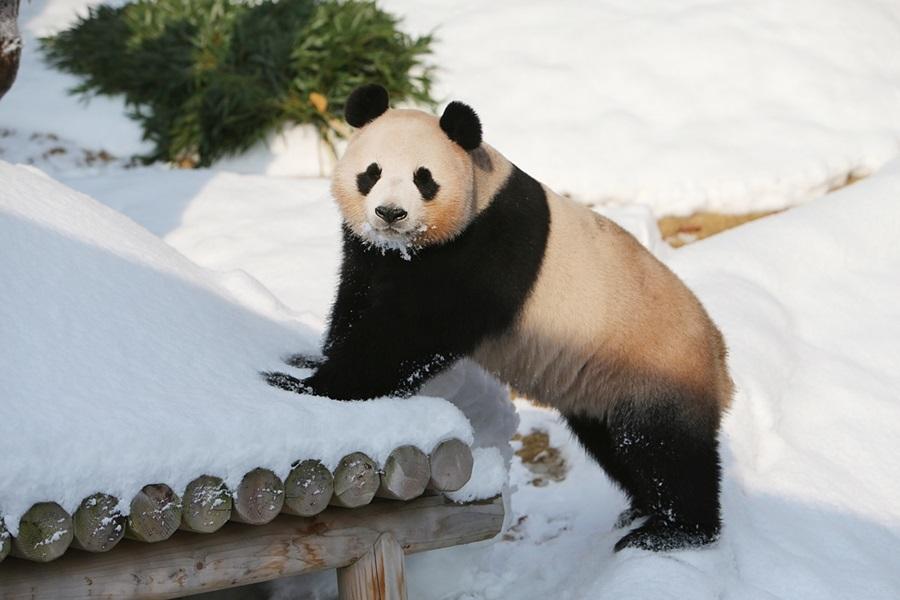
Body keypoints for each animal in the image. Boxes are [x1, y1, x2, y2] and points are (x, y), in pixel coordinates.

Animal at [266, 84, 732, 552]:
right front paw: (309, 361)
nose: (391, 214)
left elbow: (409, 336)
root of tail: (719, 358)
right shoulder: (371, 253)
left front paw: (306, 386)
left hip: (655, 366)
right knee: (616, 446)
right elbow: (355, 302)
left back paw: (673, 532)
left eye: (423, 178)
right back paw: (640, 511)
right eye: (372, 173)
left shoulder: (483, 250)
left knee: (665, 453)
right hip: (602, 384)